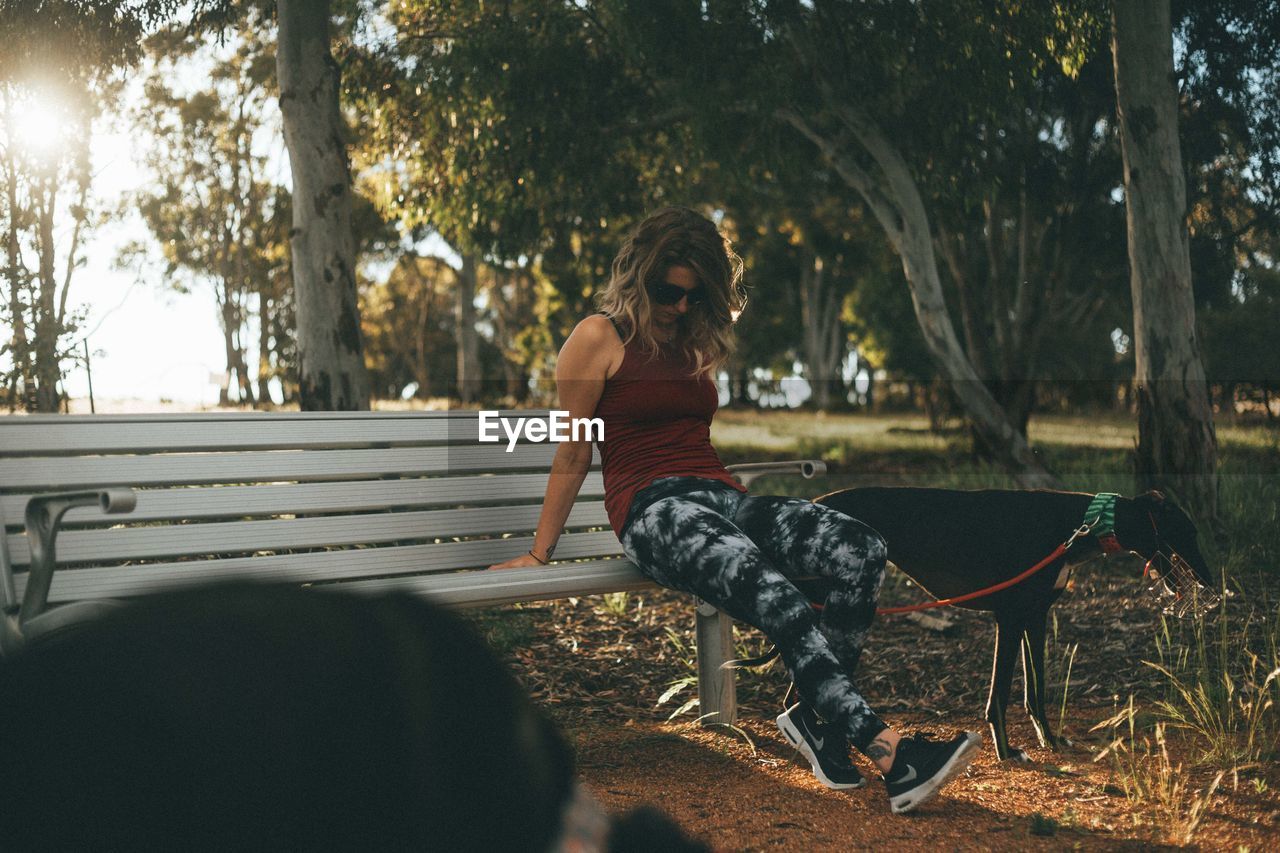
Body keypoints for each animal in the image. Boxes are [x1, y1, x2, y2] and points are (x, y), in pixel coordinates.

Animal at [814, 489, 1213, 758]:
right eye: (1190, 532)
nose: (1209, 583)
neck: (1077, 523)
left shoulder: (1035, 616)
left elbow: (1035, 691)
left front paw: (1049, 740)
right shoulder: (1007, 618)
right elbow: (1001, 694)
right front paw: (1005, 751)